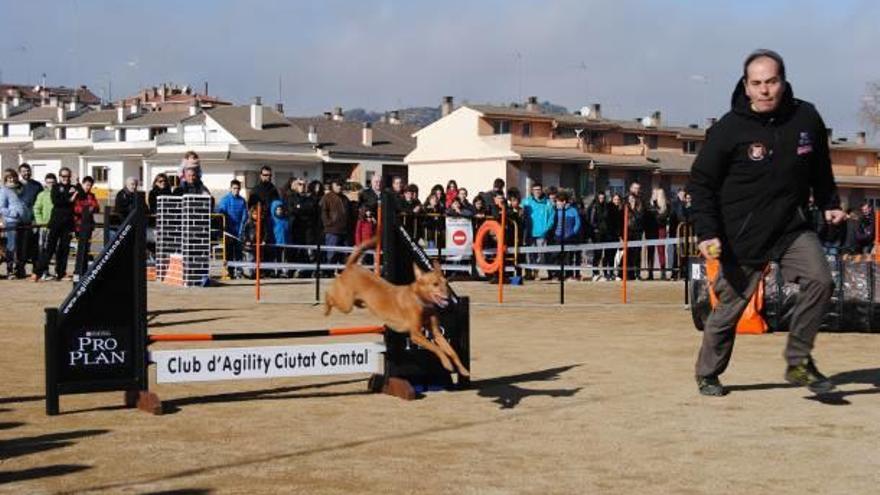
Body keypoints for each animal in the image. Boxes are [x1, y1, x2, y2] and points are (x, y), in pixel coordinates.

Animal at [326, 239, 470, 376]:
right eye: (435, 284)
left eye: (446, 283)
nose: (448, 296)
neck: (421, 302)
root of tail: (352, 266)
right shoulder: (416, 335)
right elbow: (436, 348)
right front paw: (447, 363)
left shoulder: (437, 334)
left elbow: (452, 352)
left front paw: (463, 369)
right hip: (345, 304)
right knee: (330, 295)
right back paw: (326, 307)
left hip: (355, 302)